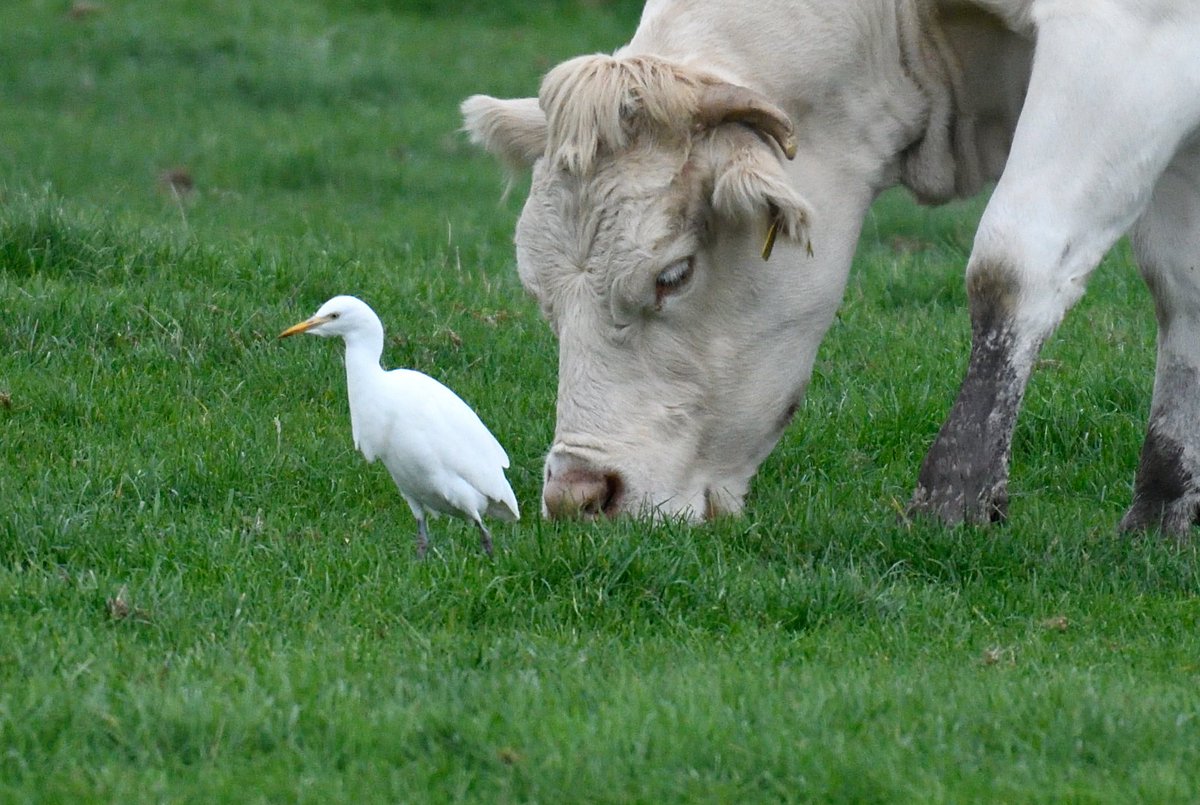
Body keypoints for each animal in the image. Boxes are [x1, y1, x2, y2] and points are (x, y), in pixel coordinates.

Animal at [462, 0, 1200, 534]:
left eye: (673, 274)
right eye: (542, 296)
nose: (578, 497)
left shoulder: (1126, 38)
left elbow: (1011, 266)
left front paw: (952, 498)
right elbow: (1182, 289)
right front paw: (1161, 513)